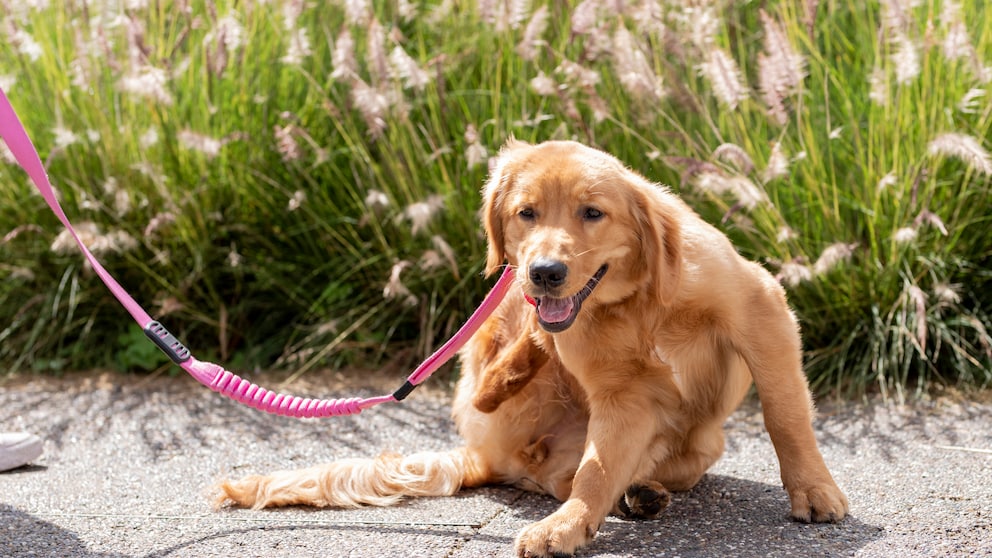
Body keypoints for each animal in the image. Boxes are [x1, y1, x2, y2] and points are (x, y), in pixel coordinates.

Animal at [215, 141, 844, 558]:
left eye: (593, 212)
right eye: (527, 213)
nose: (544, 272)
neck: (637, 302)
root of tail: (483, 454)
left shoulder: (761, 311)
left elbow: (785, 413)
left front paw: (814, 490)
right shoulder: (623, 397)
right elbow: (594, 473)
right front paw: (567, 528)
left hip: (702, 439)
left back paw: (641, 491)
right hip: (500, 328)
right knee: (506, 399)